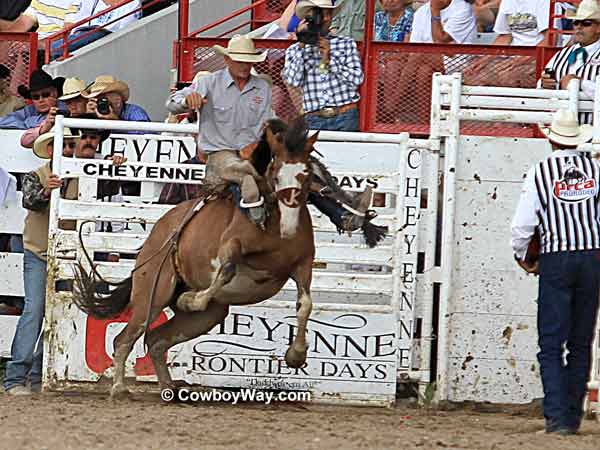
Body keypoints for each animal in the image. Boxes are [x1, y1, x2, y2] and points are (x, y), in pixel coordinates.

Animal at [74, 118, 384, 400]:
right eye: (275, 173)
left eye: (307, 175)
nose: (289, 225)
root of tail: (157, 234)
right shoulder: (230, 246)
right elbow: (226, 270)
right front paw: (192, 298)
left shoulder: (303, 263)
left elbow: (305, 304)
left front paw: (296, 355)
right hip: (152, 294)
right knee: (124, 339)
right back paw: (119, 387)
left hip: (209, 316)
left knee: (158, 340)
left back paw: (169, 388)